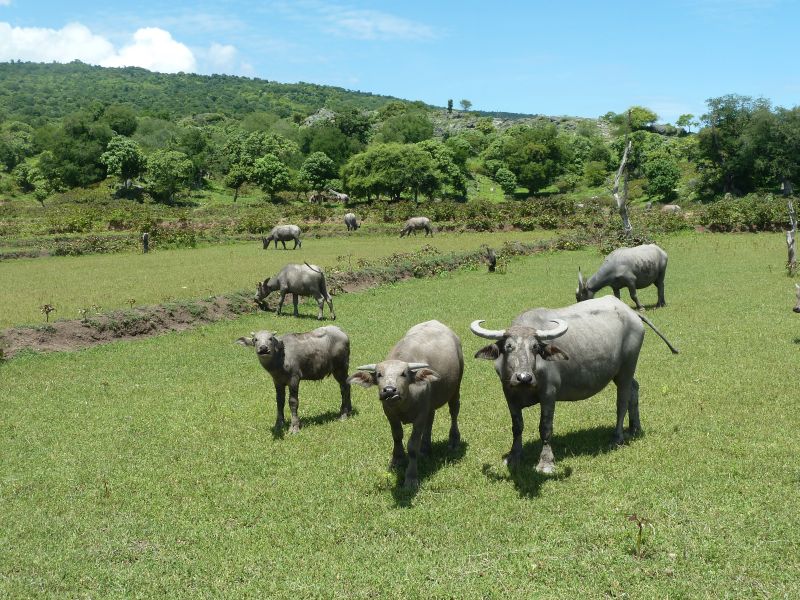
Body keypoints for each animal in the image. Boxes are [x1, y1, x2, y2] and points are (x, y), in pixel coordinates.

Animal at [347, 320, 463, 489]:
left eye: (404, 374)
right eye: (379, 374)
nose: (389, 390)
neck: (404, 402)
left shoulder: (420, 416)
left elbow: (412, 446)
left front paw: (411, 478)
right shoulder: (390, 413)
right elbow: (397, 436)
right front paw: (397, 460)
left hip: (456, 387)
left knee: (454, 410)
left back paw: (453, 441)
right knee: (431, 420)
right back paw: (425, 449)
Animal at [471, 296, 678, 474]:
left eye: (535, 347)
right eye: (508, 347)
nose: (523, 377)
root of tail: (631, 313)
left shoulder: (549, 393)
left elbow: (545, 427)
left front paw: (546, 463)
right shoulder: (508, 394)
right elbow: (517, 426)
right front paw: (514, 456)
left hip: (628, 365)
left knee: (622, 400)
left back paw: (617, 437)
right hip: (620, 371)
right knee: (634, 389)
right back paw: (635, 428)